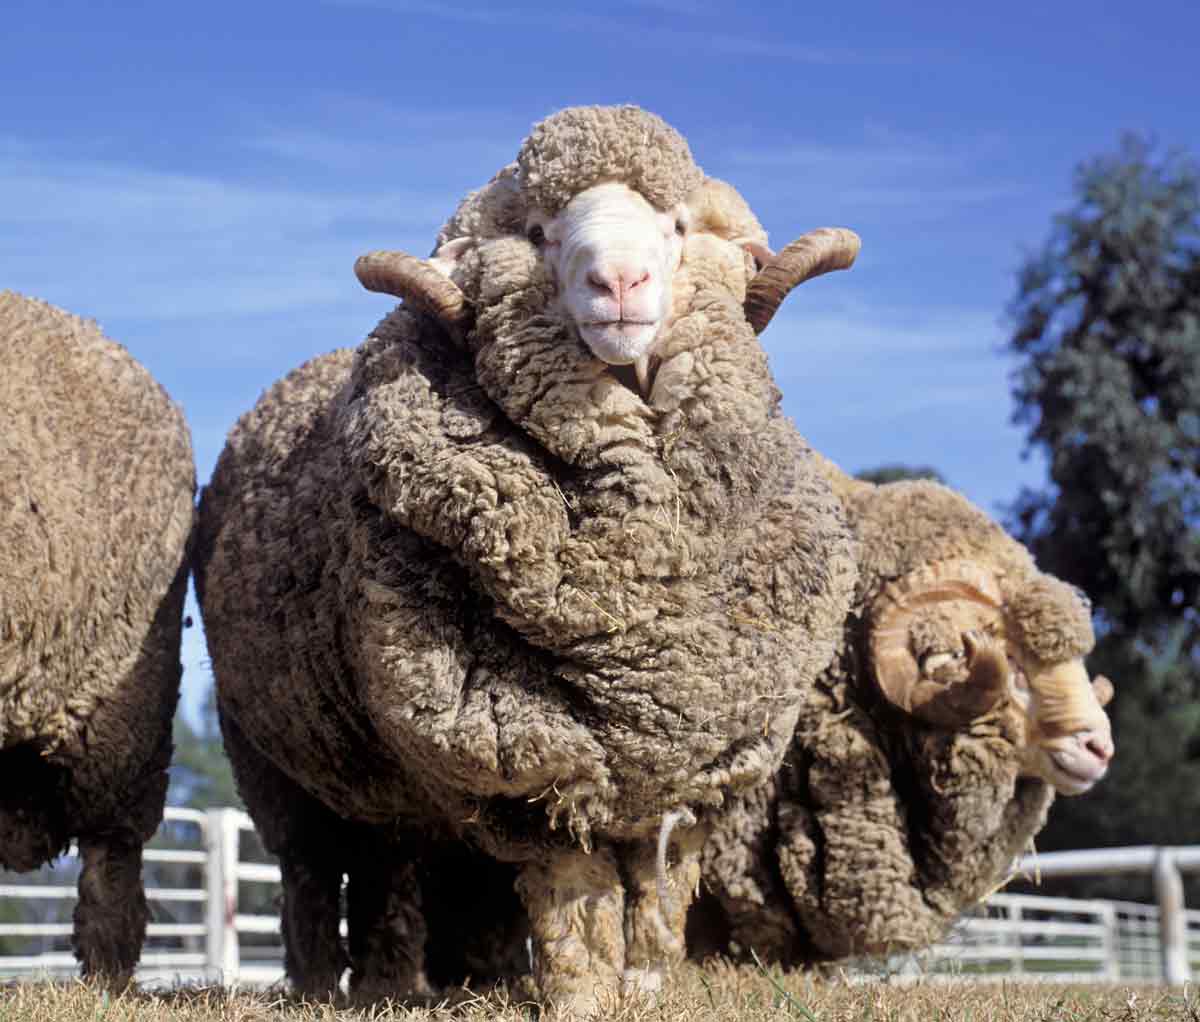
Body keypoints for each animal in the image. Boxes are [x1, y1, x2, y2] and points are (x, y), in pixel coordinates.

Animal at [194, 104, 861, 1013]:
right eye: (542, 232)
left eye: (677, 225)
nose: (619, 283)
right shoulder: (519, 758)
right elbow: (575, 892)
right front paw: (582, 996)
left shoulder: (702, 769)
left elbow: (658, 895)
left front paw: (647, 988)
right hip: (273, 758)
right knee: (309, 871)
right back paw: (319, 986)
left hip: (383, 778)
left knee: (386, 867)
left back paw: (389, 984)